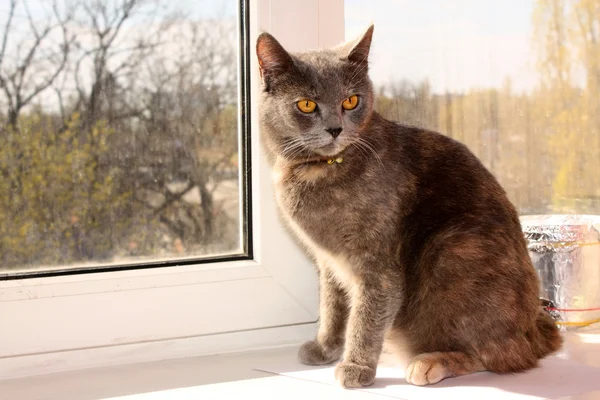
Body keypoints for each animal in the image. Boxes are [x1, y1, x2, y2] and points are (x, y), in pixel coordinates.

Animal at [255, 25, 560, 388]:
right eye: (306, 104)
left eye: (350, 100)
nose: (335, 128)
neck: (320, 170)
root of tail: (535, 330)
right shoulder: (328, 262)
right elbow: (332, 306)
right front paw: (325, 347)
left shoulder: (377, 263)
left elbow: (366, 315)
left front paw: (355, 366)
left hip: (452, 249)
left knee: (499, 355)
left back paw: (429, 363)